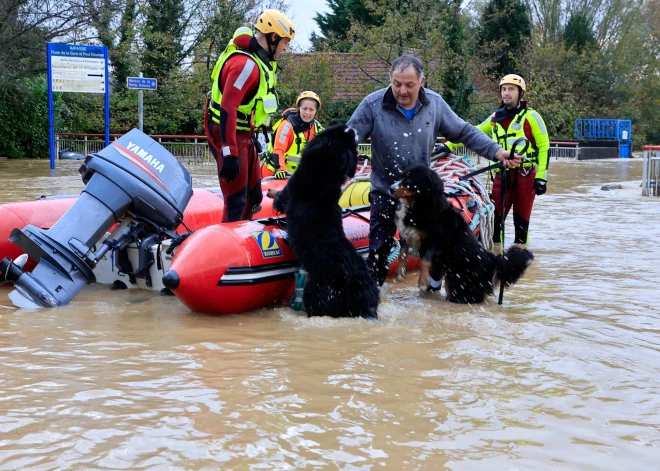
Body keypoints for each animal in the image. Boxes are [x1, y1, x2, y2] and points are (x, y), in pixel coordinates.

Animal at [270, 124, 378, 320]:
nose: (351, 127)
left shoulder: (287, 193)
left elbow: (278, 199)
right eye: (347, 137)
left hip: (315, 294)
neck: (322, 177)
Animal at [394, 164, 532, 304]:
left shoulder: (437, 241)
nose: (390, 188)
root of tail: (492, 261)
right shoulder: (406, 234)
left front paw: (422, 281)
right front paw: (401, 272)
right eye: (402, 176)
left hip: (460, 286)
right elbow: (402, 253)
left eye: (409, 180)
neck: (420, 207)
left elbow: (425, 261)